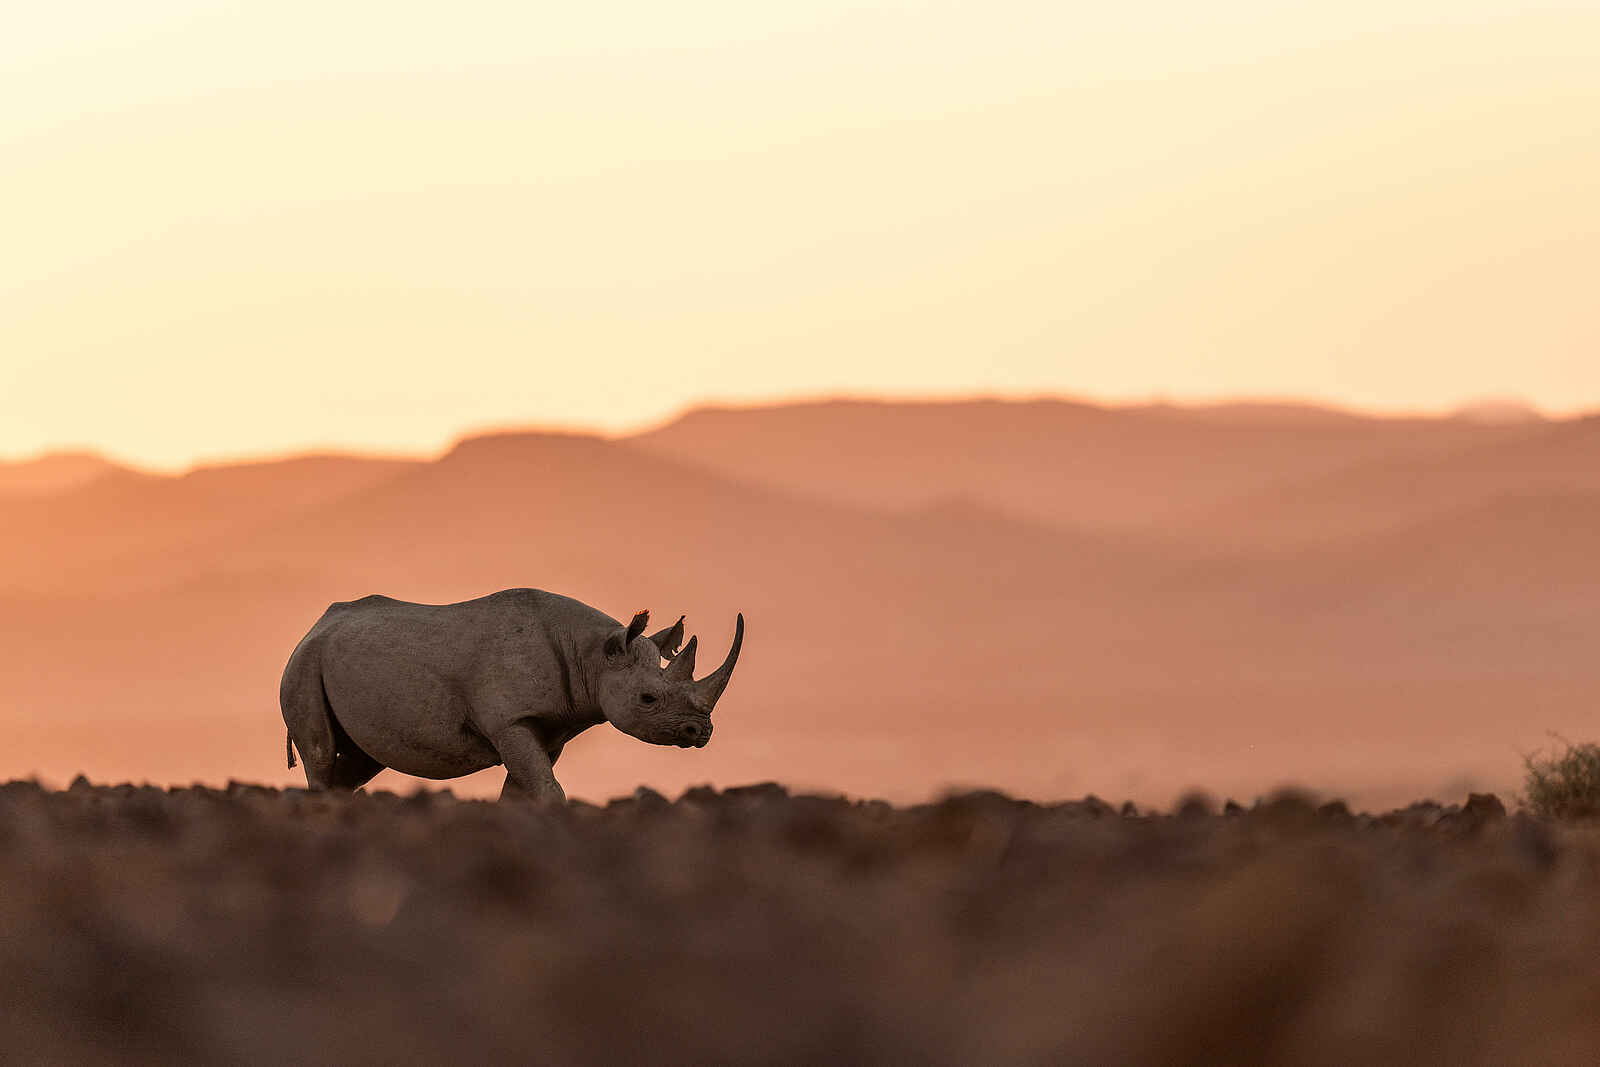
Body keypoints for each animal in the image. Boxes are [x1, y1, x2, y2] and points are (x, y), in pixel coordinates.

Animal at [279, 589, 743, 802]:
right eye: (648, 699)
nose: (699, 732)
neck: (594, 656)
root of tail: (314, 627)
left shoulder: (550, 727)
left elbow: (527, 786)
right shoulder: (510, 721)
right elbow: (544, 785)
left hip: (337, 663)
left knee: (361, 761)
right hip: (303, 665)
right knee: (321, 752)